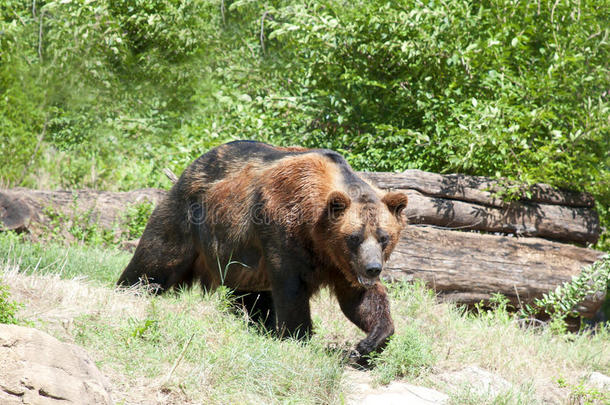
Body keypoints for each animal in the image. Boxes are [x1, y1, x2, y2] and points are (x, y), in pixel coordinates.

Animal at [116, 140, 406, 362]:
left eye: (384, 237)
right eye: (354, 237)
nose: (373, 268)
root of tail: (190, 167)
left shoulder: (340, 264)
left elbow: (360, 300)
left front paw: (367, 344)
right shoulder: (283, 229)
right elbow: (291, 288)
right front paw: (298, 336)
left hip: (240, 260)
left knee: (250, 296)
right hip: (187, 219)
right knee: (155, 261)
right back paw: (130, 289)